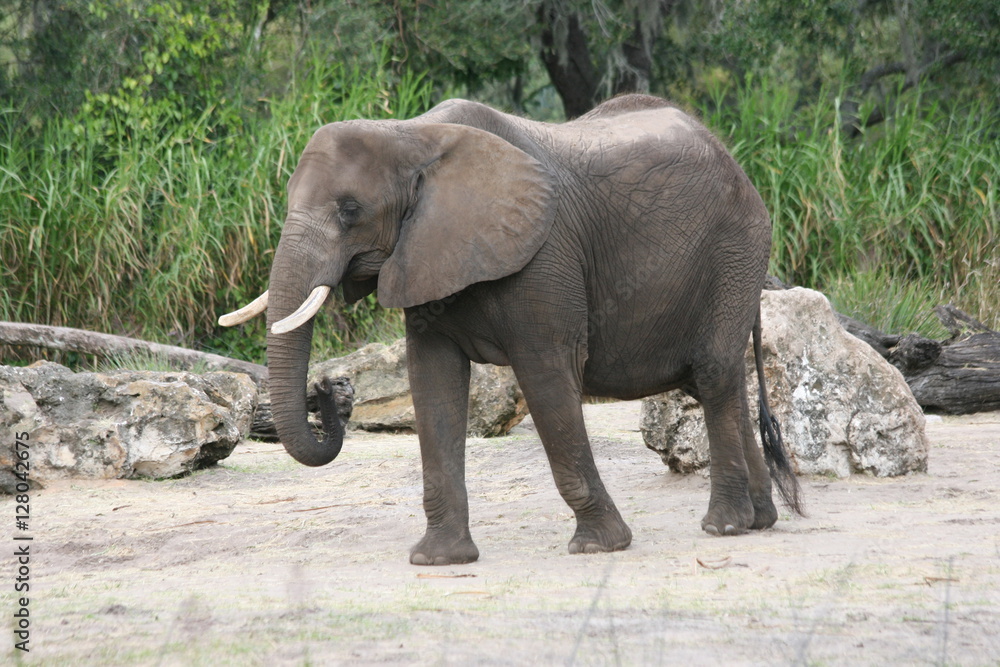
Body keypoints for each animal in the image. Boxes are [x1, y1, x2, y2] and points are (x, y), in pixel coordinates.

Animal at [220, 94, 802, 565]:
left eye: (349, 210)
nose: (326, 389)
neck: (413, 135)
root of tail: (731, 158)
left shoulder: (543, 260)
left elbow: (546, 376)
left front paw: (599, 547)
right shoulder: (425, 255)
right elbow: (432, 383)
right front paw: (439, 560)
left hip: (736, 249)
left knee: (715, 373)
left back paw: (723, 527)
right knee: (715, 383)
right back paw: (760, 522)